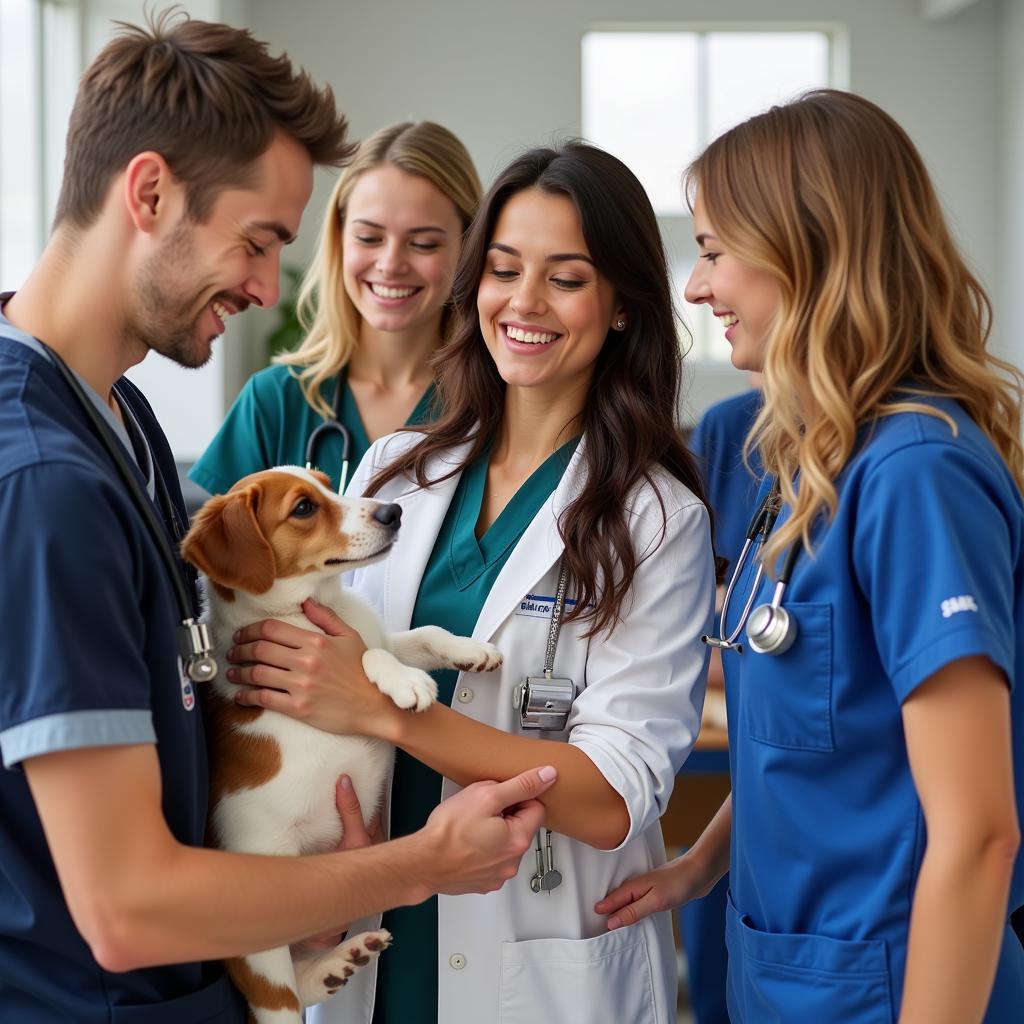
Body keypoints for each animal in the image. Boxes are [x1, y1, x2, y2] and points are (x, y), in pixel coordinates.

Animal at [184, 468, 503, 1024]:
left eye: (328, 483)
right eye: (304, 508)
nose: (393, 512)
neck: (318, 608)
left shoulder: (383, 634)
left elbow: (413, 635)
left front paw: (470, 650)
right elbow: (372, 656)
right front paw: (406, 683)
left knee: (302, 976)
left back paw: (340, 960)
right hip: (261, 946)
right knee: (281, 997)